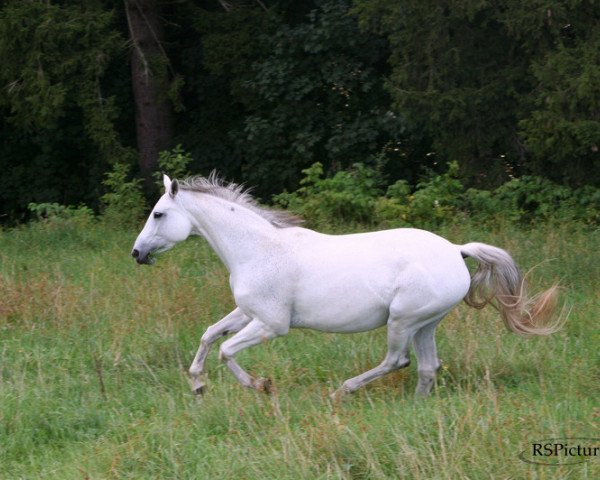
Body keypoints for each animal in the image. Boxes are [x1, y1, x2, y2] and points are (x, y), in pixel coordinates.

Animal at [131, 173, 564, 398]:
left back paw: (344, 390)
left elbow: (225, 349)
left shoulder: (272, 324)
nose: (136, 253)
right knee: (427, 366)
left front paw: (261, 385)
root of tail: (456, 251)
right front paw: (197, 384)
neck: (258, 249)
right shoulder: (249, 312)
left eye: (158, 214)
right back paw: (417, 407)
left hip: (403, 320)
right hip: (426, 324)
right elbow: (209, 335)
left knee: (398, 361)